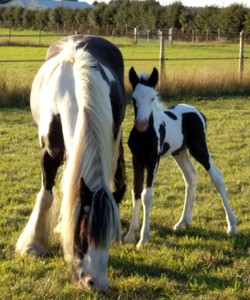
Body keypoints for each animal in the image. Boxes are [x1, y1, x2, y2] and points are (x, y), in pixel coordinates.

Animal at [15, 34, 127, 290]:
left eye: (110, 237)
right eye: (84, 233)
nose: (96, 283)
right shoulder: (49, 154)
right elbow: (46, 196)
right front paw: (33, 244)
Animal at [124, 67, 237, 248]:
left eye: (152, 97)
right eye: (133, 98)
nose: (141, 124)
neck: (144, 135)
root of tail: (199, 114)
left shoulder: (153, 160)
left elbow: (147, 195)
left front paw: (143, 238)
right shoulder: (137, 159)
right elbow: (136, 191)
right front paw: (130, 234)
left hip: (199, 149)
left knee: (217, 177)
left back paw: (232, 225)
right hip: (180, 152)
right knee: (191, 176)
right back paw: (183, 222)